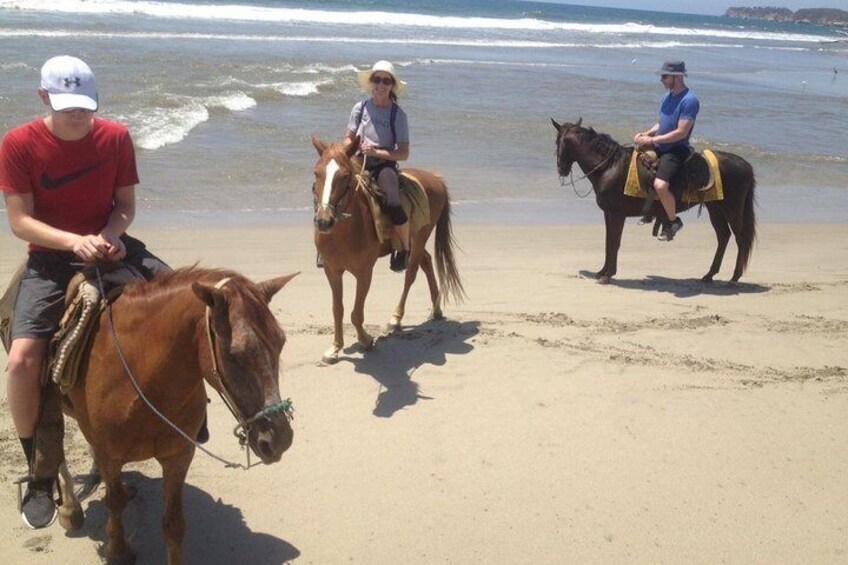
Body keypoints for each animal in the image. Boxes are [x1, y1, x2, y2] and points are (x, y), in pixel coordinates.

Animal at [54, 268, 296, 564]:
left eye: (281, 342)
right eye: (233, 355)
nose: (280, 439)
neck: (142, 380)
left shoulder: (178, 456)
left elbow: (173, 526)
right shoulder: (111, 455)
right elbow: (115, 503)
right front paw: (118, 550)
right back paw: (71, 509)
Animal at [310, 139, 464, 364]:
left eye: (345, 175)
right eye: (317, 173)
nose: (324, 220)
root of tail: (434, 178)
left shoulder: (364, 272)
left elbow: (356, 313)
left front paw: (366, 340)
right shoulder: (332, 270)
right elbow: (337, 309)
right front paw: (335, 348)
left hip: (420, 238)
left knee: (411, 274)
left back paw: (396, 318)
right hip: (414, 242)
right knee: (426, 262)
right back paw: (435, 309)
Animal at [552, 119, 760, 286]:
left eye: (557, 142)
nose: (561, 169)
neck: (610, 167)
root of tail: (746, 165)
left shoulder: (617, 214)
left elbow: (614, 242)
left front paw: (607, 275)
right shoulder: (608, 214)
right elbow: (608, 242)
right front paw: (602, 271)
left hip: (732, 209)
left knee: (740, 239)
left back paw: (734, 278)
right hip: (715, 208)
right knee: (723, 236)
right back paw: (709, 275)